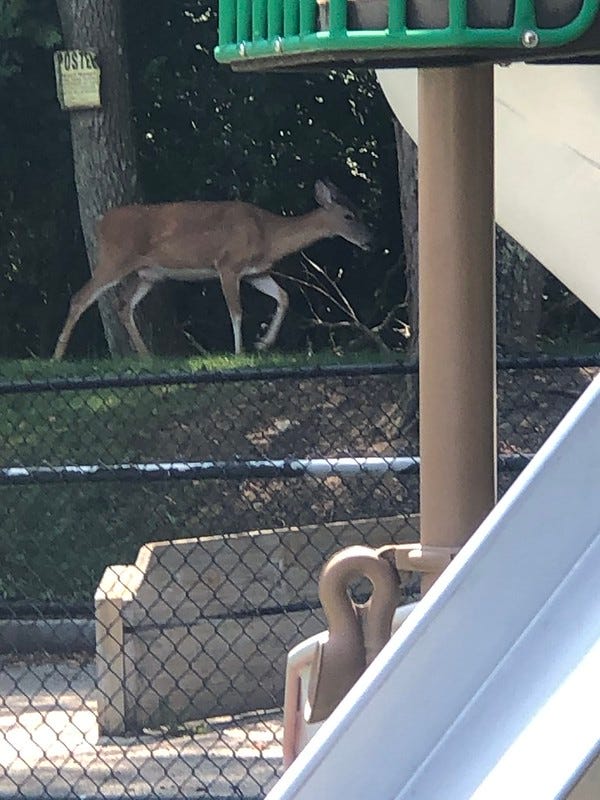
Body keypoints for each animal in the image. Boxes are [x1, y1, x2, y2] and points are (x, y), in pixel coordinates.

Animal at [52, 179, 372, 360]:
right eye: (349, 215)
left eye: (359, 210)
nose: (370, 240)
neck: (267, 233)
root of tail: (101, 223)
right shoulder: (227, 264)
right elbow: (236, 310)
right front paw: (240, 351)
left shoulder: (255, 272)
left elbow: (283, 296)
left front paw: (263, 344)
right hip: (115, 259)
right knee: (80, 297)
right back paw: (57, 356)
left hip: (147, 273)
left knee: (122, 305)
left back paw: (147, 357)